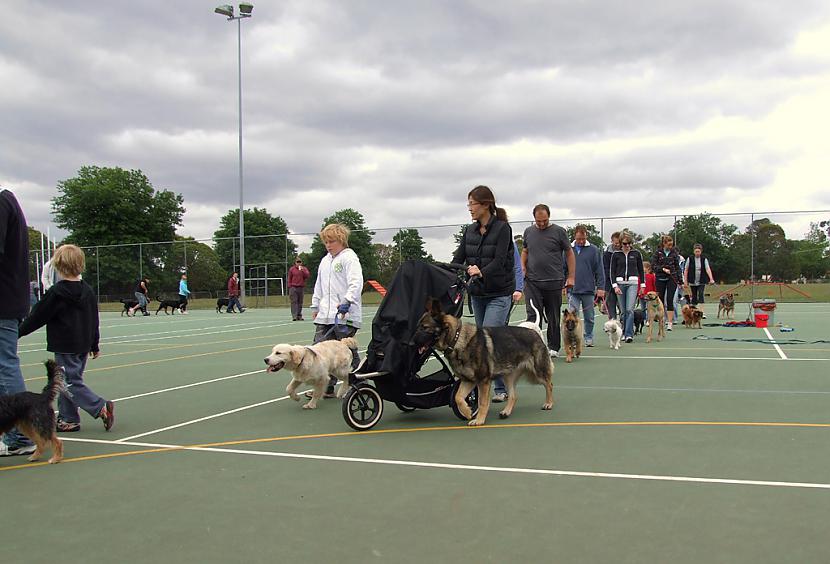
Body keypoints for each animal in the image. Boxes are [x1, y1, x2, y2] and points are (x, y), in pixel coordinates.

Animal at [414, 298, 556, 426]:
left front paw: (479, 420)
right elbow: (458, 397)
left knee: (549, 384)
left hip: (537, 373)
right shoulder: (468, 381)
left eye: (424, 327)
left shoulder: (483, 381)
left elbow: (482, 402)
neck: (457, 338)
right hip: (508, 377)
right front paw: (467, 412)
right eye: (418, 327)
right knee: (513, 396)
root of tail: (534, 330)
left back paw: (549, 403)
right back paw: (506, 412)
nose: (410, 343)